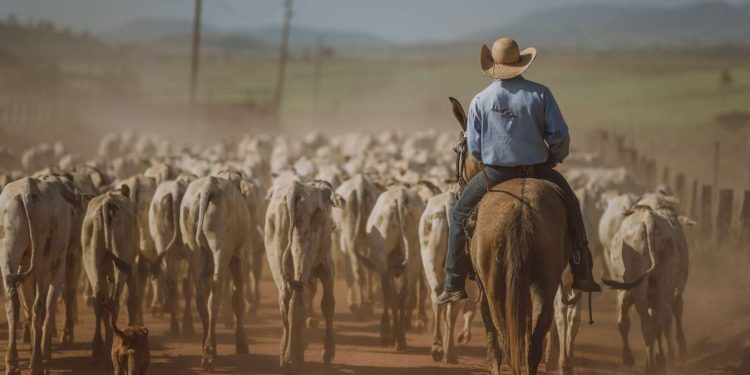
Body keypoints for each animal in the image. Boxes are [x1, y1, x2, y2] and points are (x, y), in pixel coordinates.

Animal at [450, 97, 572, 375]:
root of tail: (521, 208)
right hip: (545, 281)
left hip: (494, 286)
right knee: (533, 340)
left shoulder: (482, 287)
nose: (458, 187)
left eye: (457, 150)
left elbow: (492, 336)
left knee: (505, 338)